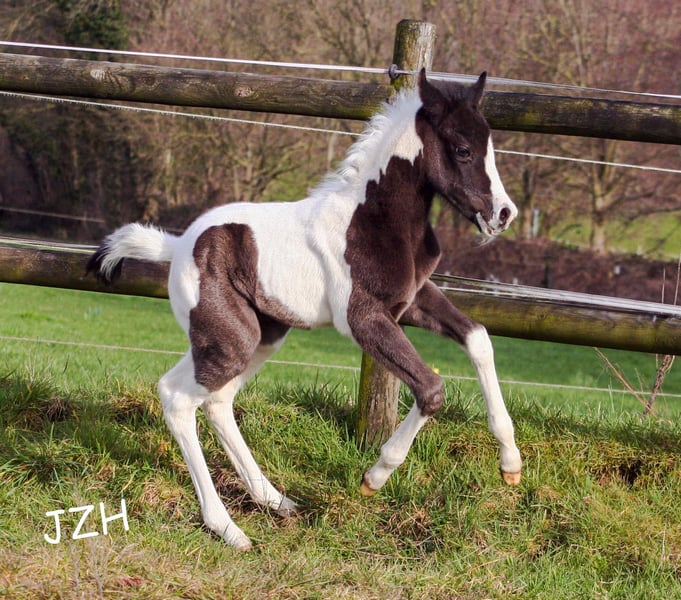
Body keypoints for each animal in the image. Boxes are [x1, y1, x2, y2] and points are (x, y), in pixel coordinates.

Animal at [87, 69, 522, 550]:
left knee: (211, 398)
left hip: (251, 337)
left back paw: (275, 501)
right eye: (463, 149)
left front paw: (511, 464)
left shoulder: (412, 300)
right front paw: (375, 476)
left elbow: (478, 339)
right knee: (181, 399)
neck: (374, 219)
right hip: (229, 340)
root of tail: (179, 245)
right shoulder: (363, 318)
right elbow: (430, 388)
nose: (504, 213)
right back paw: (228, 528)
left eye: (490, 146)